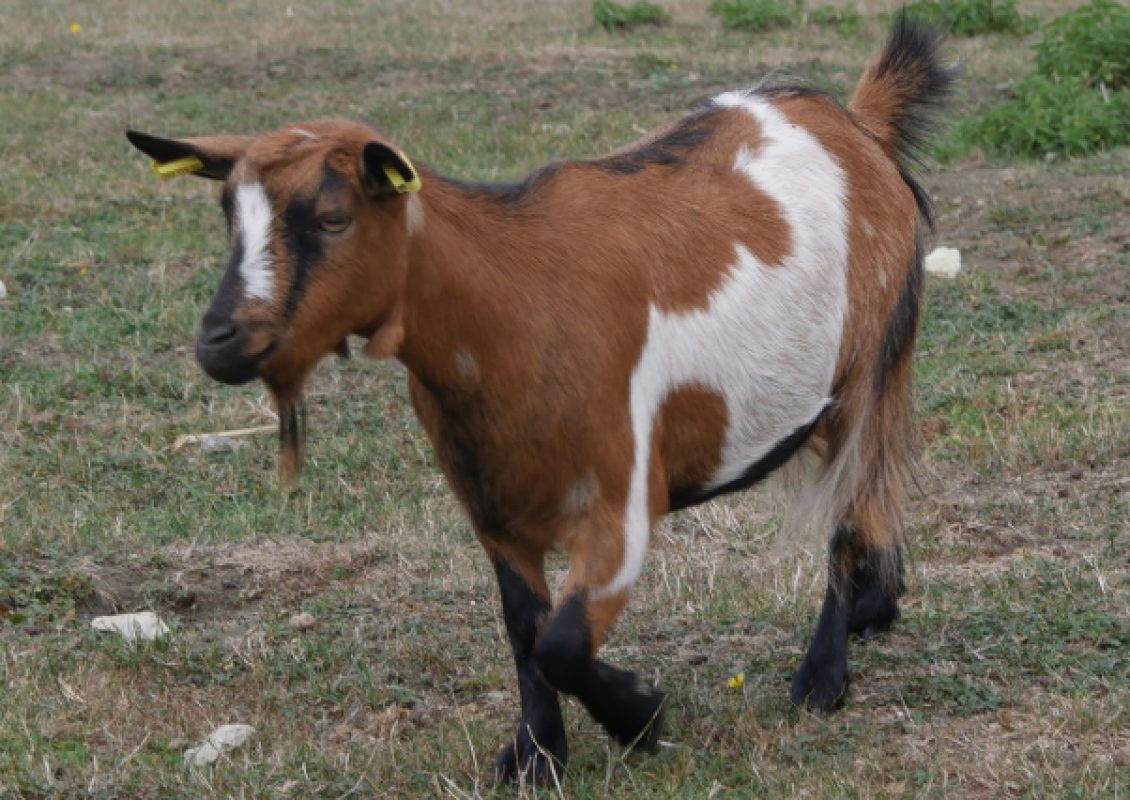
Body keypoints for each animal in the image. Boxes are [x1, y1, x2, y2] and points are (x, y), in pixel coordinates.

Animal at [126, 13, 952, 784]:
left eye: (333, 218)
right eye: (227, 217)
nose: (220, 341)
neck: (513, 301)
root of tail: (854, 123)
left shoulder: (619, 506)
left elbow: (560, 641)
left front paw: (641, 716)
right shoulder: (490, 502)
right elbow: (524, 626)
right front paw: (536, 754)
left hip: (871, 367)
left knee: (853, 505)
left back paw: (823, 675)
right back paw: (878, 605)